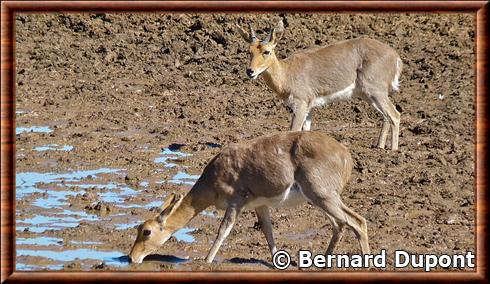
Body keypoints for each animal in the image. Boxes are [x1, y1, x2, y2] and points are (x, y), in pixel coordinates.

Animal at [128, 131, 370, 264]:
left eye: (147, 232)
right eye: (138, 228)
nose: (131, 257)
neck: (213, 177)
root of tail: (346, 156)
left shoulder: (237, 201)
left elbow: (223, 230)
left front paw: (206, 261)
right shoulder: (260, 205)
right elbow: (268, 231)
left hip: (322, 195)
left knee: (357, 222)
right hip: (321, 198)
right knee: (341, 224)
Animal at [237, 20, 402, 151]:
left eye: (267, 51)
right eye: (249, 51)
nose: (250, 71)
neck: (287, 74)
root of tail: (395, 56)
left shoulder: (300, 104)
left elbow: (293, 131)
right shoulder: (310, 107)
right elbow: (305, 132)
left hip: (376, 92)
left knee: (394, 115)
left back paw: (393, 151)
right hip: (368, 95)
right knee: (386, 116)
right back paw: (379, 147)